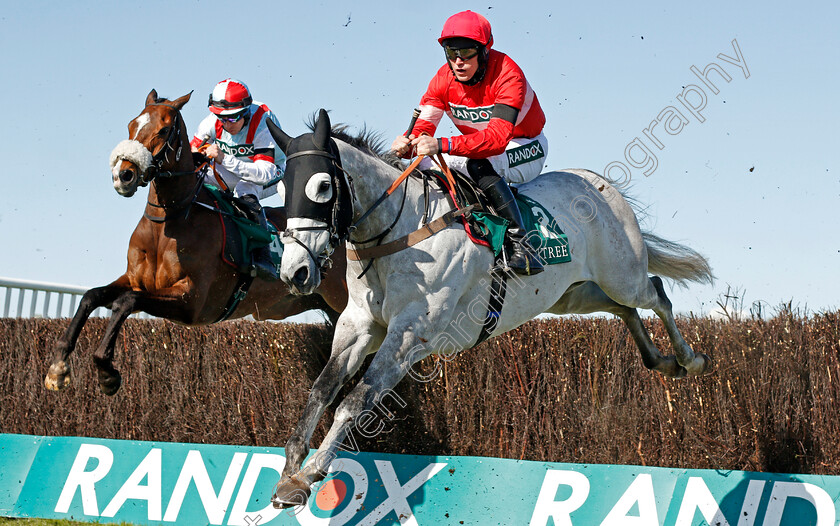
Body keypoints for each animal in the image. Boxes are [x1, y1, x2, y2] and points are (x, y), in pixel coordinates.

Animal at [44, 92, 346, 396]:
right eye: (131, 124)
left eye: (164, 130)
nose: (123, 175)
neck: (170, 221)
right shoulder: (136, 280)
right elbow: (91, 296)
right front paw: (58, 366)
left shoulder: (193, 302)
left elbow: (125, 301)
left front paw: (106, 371)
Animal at [266, 109, 712, 510]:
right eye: (282, 189)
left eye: (323, 186)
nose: (295, 272)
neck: (400, 233)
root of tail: (598, 182)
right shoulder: (358, 325)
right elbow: (321, 389)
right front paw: (289, 470)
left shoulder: (410, 334)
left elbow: (354, 402)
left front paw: (310, 473)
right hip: (572, 295)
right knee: (624, 310)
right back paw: (662, 362)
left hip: (622, 274)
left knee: (656, 294)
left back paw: (690, 360)